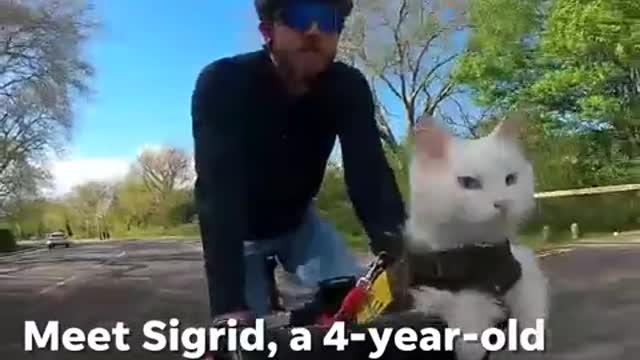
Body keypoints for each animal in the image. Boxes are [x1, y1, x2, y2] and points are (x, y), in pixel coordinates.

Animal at [404, 114, 552, 360]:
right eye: (469, 183)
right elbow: (465, 309)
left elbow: (531, 306)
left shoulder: (523, 265)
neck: (483, 253)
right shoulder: (436, 292)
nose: (502, 202)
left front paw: (531, 339)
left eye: (510, 179)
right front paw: (472, 345)